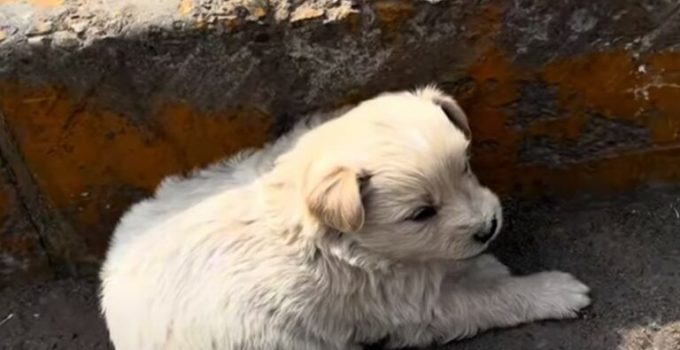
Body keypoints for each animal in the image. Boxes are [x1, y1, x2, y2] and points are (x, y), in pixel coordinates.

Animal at [99, 85, 588, 350]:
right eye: (421, 213)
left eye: (466, 166)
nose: (489, 227)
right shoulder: (410, 310)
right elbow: (489, 299)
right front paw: (554, 291)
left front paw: (478, 263)